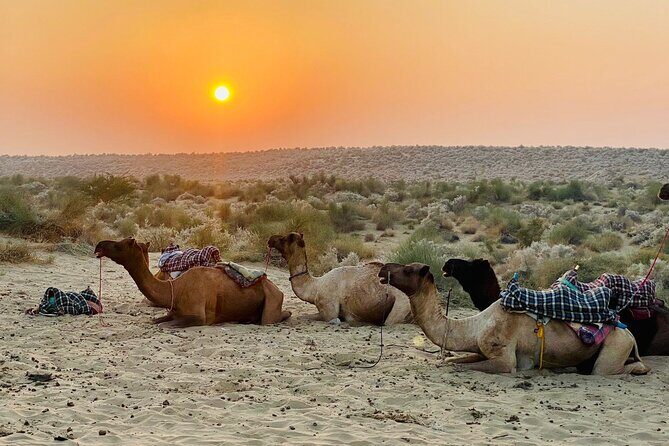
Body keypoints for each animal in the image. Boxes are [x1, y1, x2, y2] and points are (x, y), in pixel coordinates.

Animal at [94, 238, 291, 327]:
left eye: (119, 245)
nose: (99, 245)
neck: (175, 288)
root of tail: (278, 289)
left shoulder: (198, 317)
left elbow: (165, 326)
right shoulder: (173, 312)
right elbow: (155, 321)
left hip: (272, 301)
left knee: (272, 318)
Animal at [267, 233, 412, 325]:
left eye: (284, 238)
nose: (270, 239)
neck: (315, 286)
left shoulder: (329, 310)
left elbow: (309, 317)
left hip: (400, 306)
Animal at [378, 262, 649, 375]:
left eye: (408, 269)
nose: (382, 270)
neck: (475, 325)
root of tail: (628, 332)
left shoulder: (504, 358)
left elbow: (456, 364)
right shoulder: (480, 349)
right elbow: (454, 360)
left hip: (616, 347)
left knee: (612, 369)